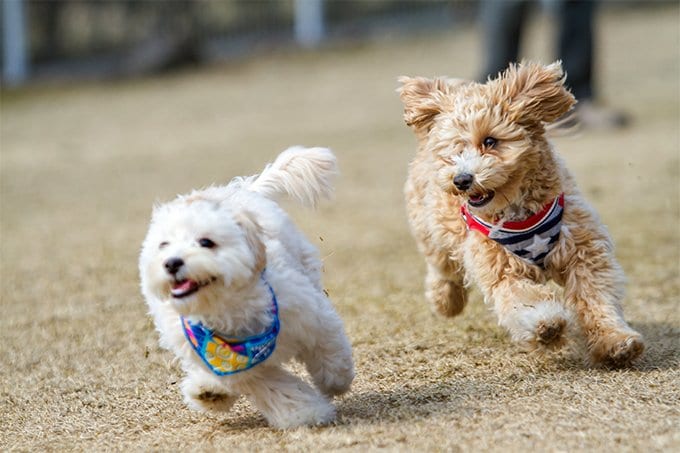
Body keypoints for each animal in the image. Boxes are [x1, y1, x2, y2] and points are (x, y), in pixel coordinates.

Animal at [141, 147, 358, 428]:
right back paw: (207, 390)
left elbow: (328, 346)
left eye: (206, 242)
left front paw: (335, 380)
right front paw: (306, 413)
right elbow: (276, 388)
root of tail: (241, 189)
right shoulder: (239, 370)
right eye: (163, 245)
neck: (226, 310)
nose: (171, 263)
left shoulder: (309, 315)